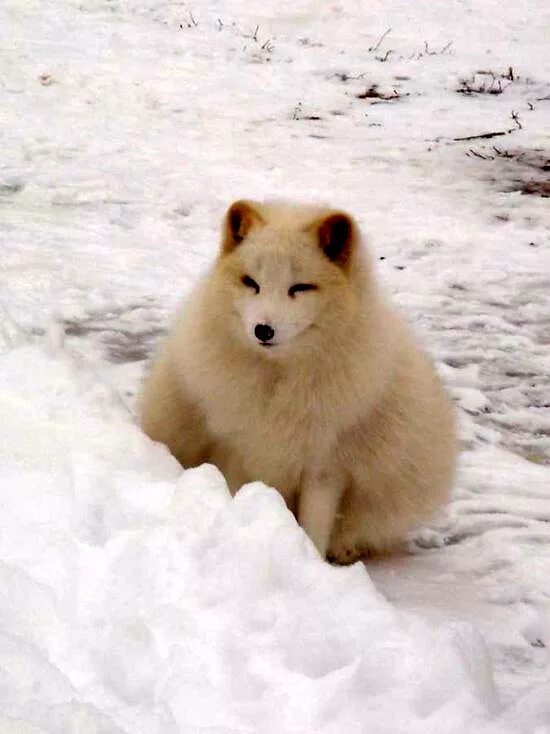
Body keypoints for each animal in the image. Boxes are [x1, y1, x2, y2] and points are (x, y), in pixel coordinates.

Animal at [139, 201, 458, 564]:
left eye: (299, 287)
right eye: (251, 282)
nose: (263, 330)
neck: (279, 382)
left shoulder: (326, 468)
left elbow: (314, 529)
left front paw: (312, 562)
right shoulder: (234, 449)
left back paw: (346, 549)